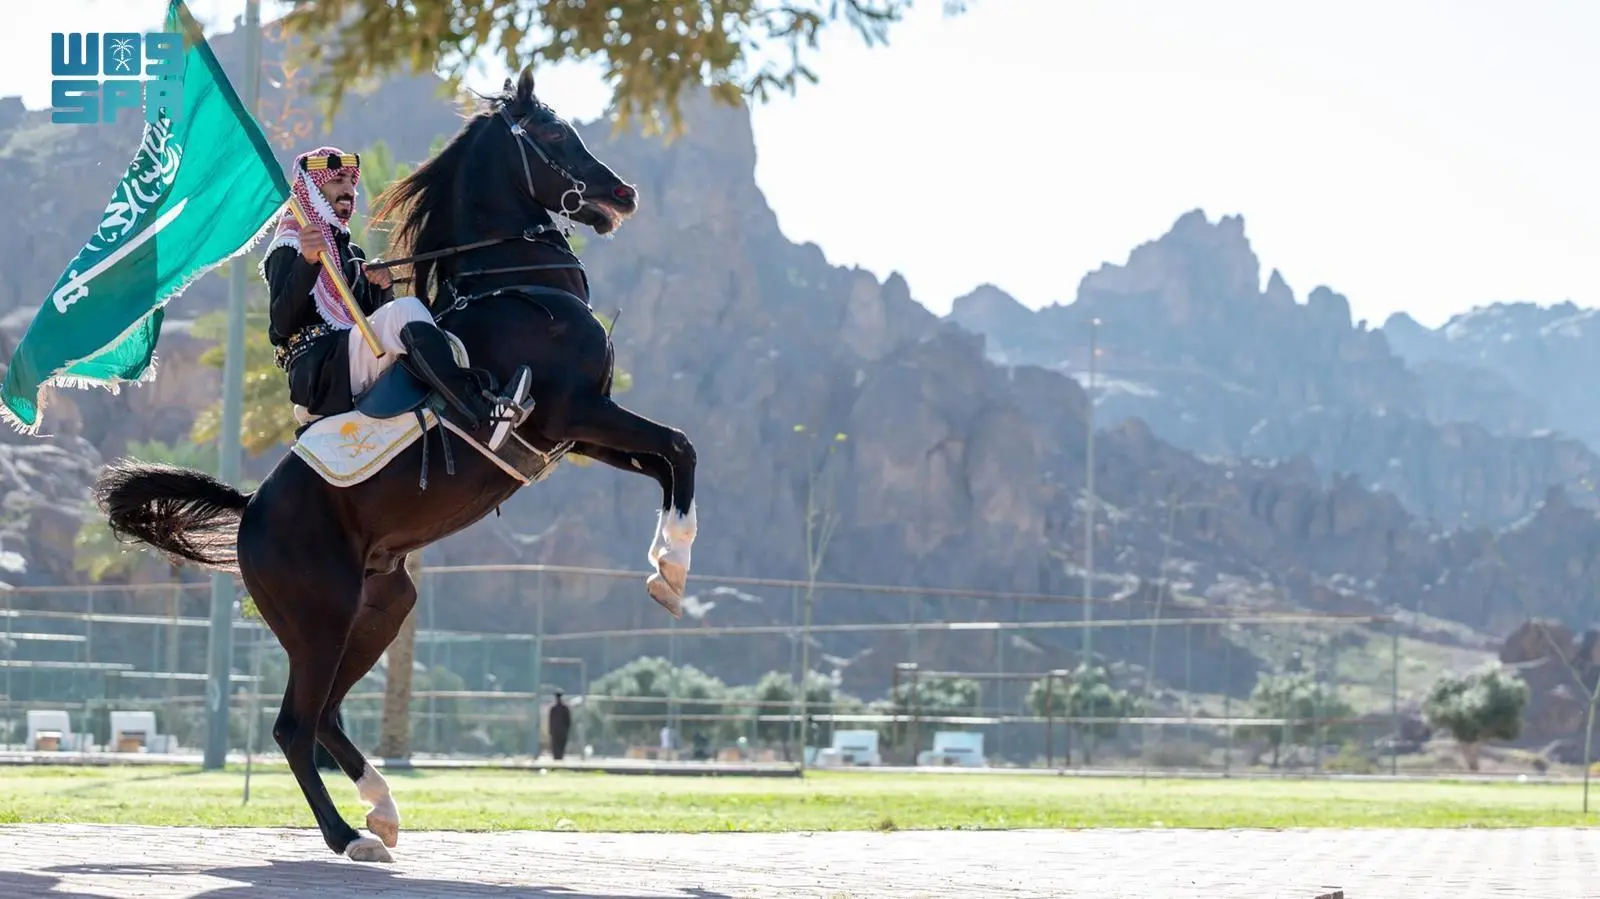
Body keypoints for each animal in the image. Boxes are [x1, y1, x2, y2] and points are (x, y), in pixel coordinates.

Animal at [93, 66, 694, 857]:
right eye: (555, 134)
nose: (623, 193)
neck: (516, 289)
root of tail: (252, 510)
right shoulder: (578, 414)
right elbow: (679, 446)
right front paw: (674, 567)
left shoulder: (583, 434)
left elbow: (669, 460)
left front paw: (665, 570)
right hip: (320, 620)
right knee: (295, 726)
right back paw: (350, 834)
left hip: (380, 607)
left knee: (326, 718)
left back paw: (381, 807)